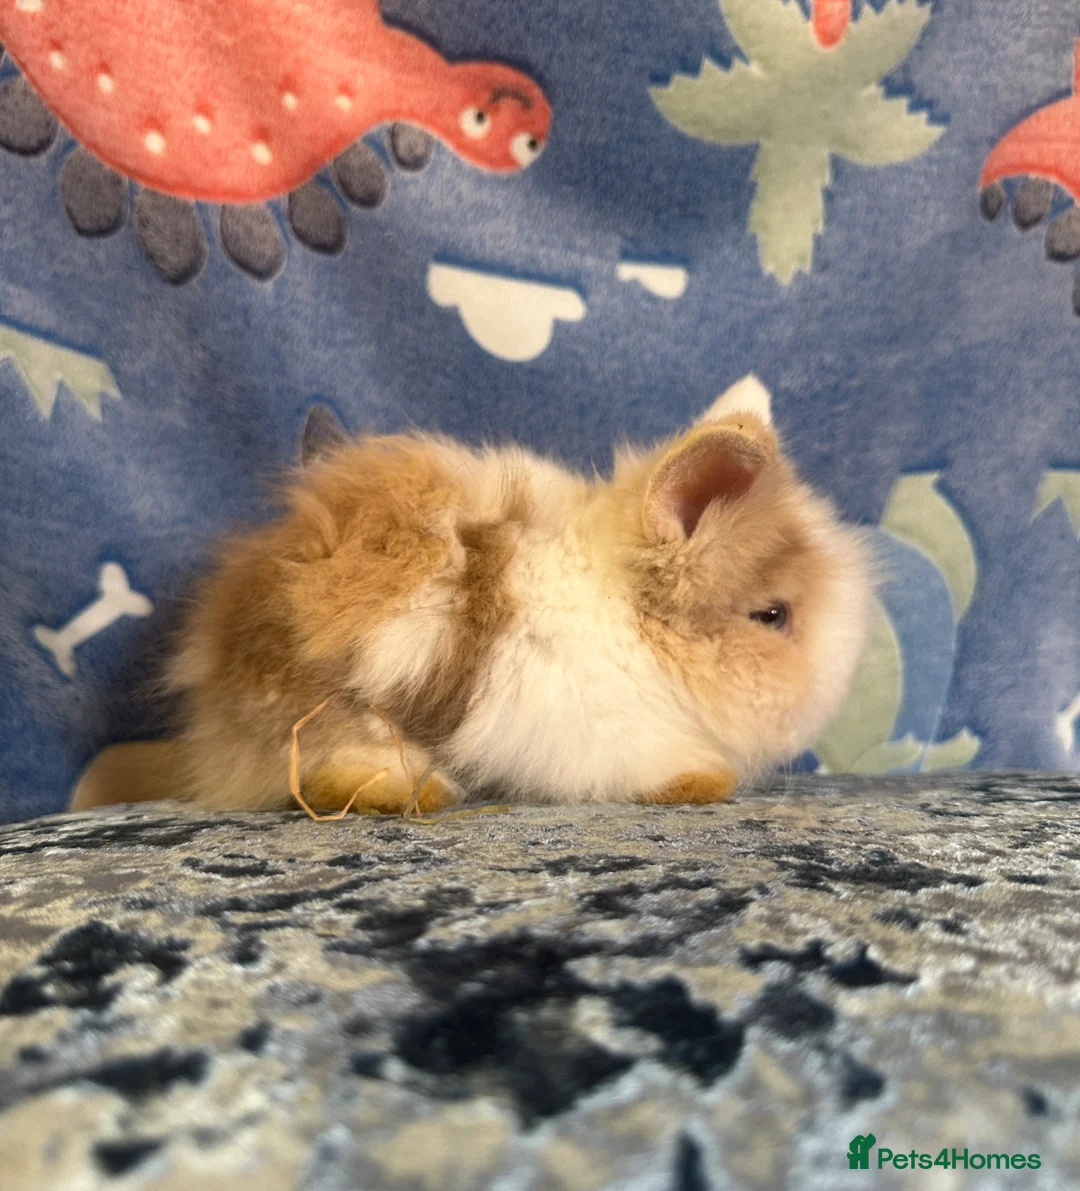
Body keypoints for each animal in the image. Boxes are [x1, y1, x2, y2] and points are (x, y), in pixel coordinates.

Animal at [72, 375, 871, 817]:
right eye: (773, 616)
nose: (833, 693)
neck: (628, 619)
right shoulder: (602, 734)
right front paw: (703, 780)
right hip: (333, 717)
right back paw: (414, 794)